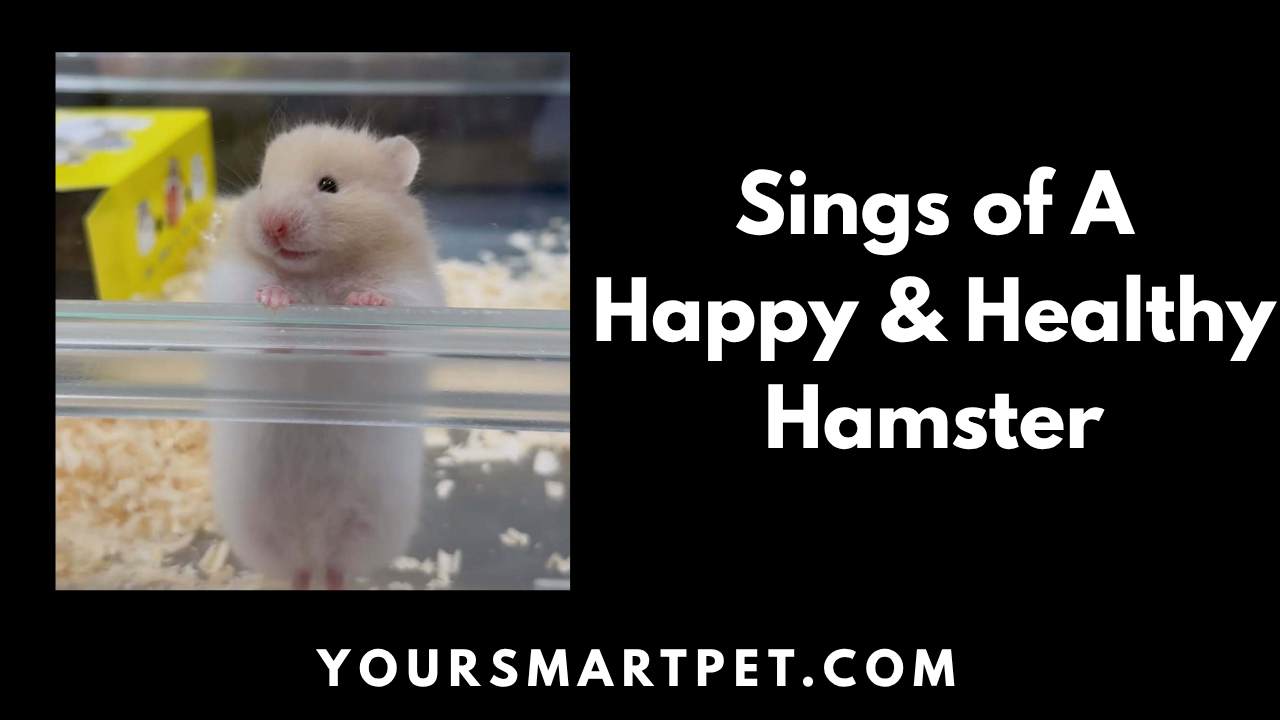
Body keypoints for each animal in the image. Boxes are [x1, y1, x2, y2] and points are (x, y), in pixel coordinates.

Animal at [204, 123, 444, 589]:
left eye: (328, 185)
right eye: (262, 184)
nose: (272, 225)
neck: (318, 276)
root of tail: (313, 543)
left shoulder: (412, 301)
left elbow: (376, 337)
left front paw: (364, 302)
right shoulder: (234, 300)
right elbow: (267, 333)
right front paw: (275, 299)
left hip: (366, 526)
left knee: (336, 569)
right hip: (264, 531)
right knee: (298, 570)